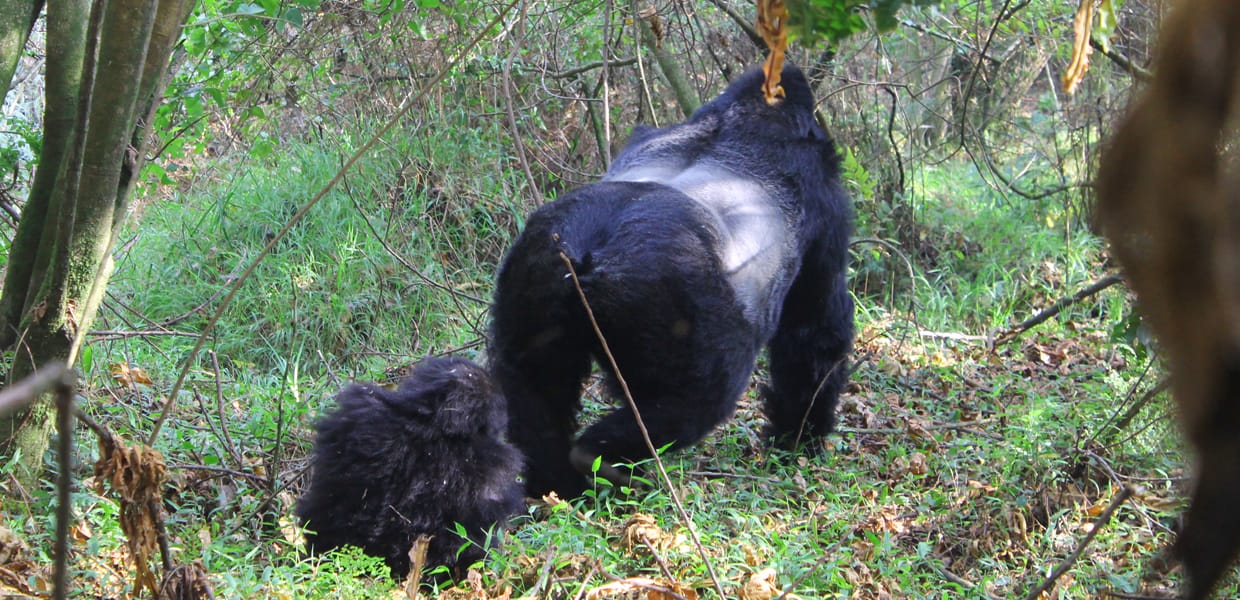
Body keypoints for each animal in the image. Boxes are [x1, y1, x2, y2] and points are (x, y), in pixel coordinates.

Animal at [491, 64, 853, 495]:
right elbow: (814, 335)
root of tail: (586, 247)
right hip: (671, 294)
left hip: (534, 266)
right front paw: (799, 441)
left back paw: (559, 484)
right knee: (695, 401)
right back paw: (603, 459)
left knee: (533, 385)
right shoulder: (826, 198)